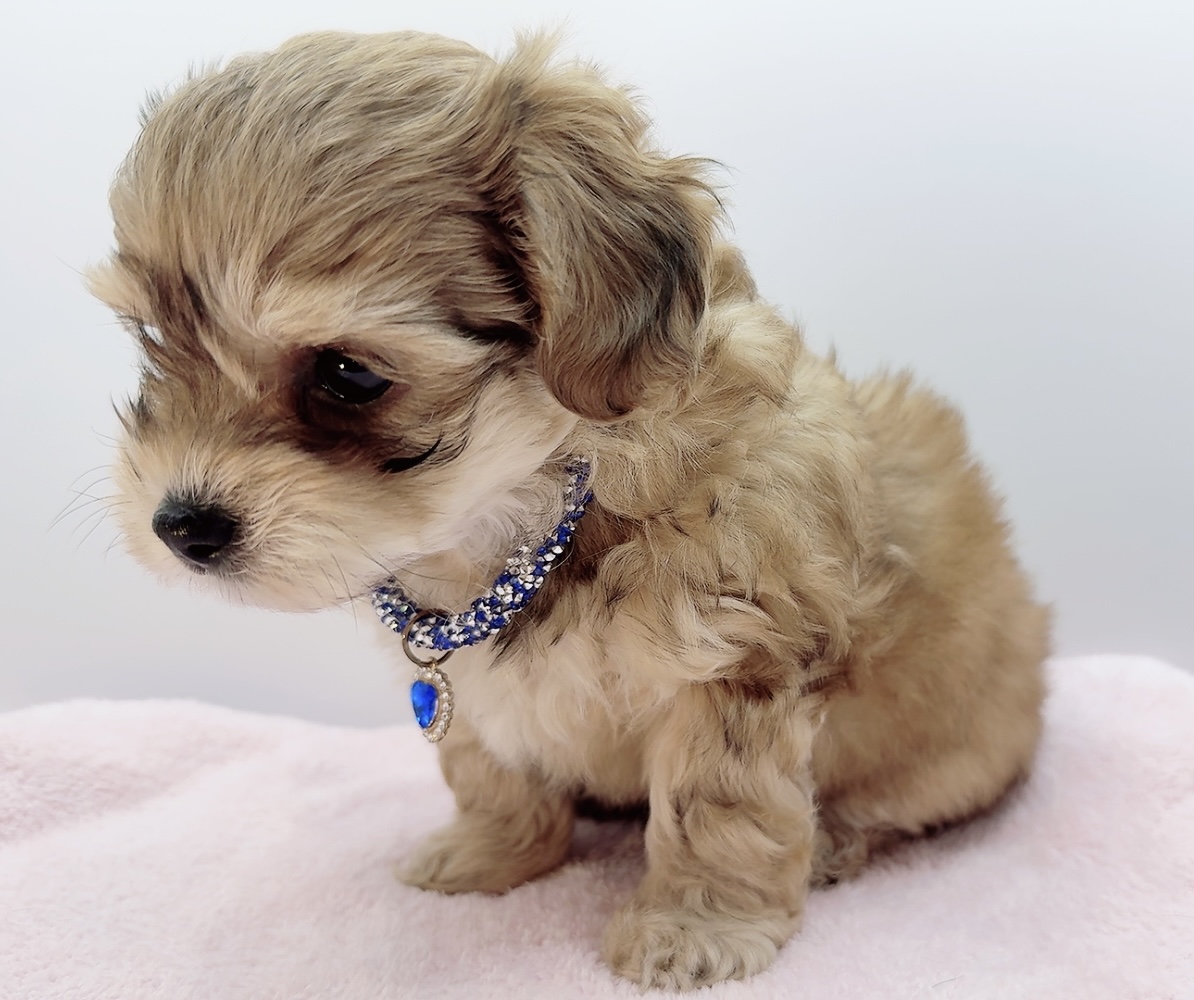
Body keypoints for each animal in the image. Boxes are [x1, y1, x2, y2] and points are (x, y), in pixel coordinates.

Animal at [88, 30, 1048, 990]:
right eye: (154, 342)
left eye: (350, 375)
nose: (182, 525)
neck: (538, 506)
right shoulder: (474, 688)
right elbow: (489, 766)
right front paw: (490, 853)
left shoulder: (743, 661)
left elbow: (719, 807)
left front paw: (693, 928)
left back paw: (841, 842)